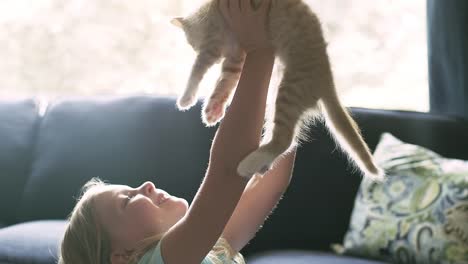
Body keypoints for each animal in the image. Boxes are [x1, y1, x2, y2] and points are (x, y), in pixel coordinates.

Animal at [172, 0, 384, 180]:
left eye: (192, 45)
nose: (193, 47)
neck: (209, 8)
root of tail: (327, 81)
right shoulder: (235, 56)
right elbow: (224, 83)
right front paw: (213, 109)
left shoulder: (214, 44)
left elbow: (197, 70)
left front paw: (186, 98)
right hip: (276, 97)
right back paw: (261, 161)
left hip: (289, 90)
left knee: (285, 140)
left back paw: (249, 164)